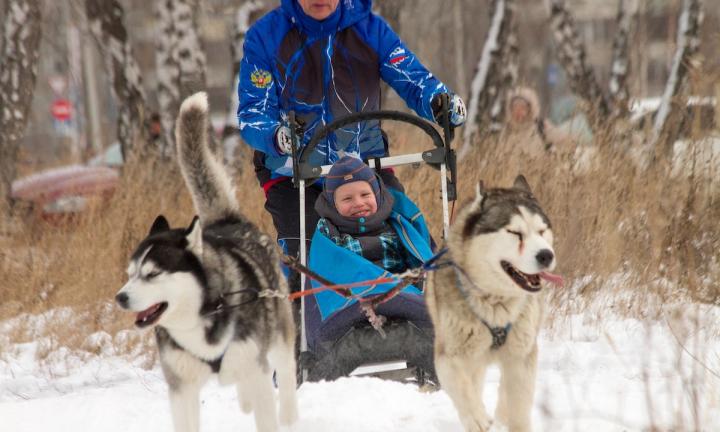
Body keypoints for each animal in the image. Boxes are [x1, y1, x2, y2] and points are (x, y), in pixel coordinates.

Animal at [114, 92, 298, 432]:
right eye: (130, 273)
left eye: (152, 274)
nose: (121, 298)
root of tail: (225, 220)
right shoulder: (181, 388)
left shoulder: (257, 368)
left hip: (279, 336)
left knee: (287, 374)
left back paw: (290, 415)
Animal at [428, 176, 564, 432]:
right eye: (514, 232)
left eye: (542, 231)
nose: (546, 255)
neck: (496, 302)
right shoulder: (449, 356)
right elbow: (463, 389)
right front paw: (477, 418)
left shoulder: (522, 355)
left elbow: (519, 404)